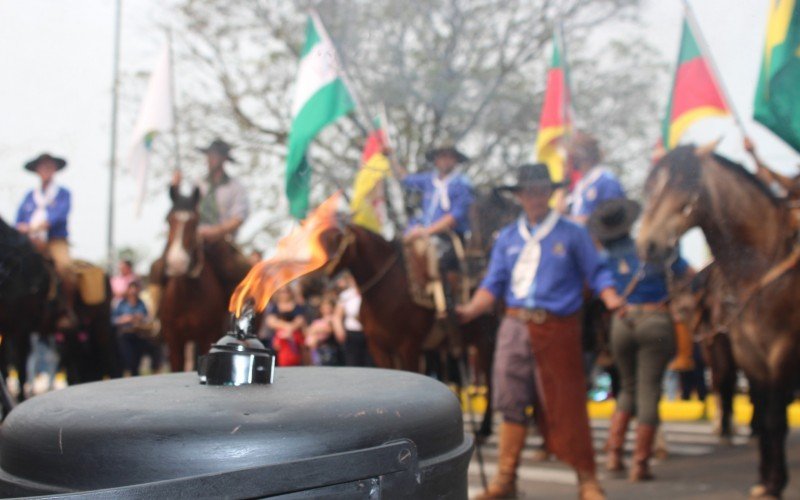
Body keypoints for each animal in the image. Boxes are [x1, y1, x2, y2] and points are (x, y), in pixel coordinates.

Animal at [157, 187, 230, 372]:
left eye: (195, 221)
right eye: (169, 219)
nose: (177, 262)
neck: (187, 295)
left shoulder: (207, 336)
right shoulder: (174, 340)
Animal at [636, 143, 800, 498]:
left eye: (683, 182)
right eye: (651, 185)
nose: (648, 245)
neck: (761, 266)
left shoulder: (782, 351)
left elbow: (775, 416)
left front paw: (775, 483)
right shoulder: (747, 352)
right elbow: (763, 409)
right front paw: (766, 479)